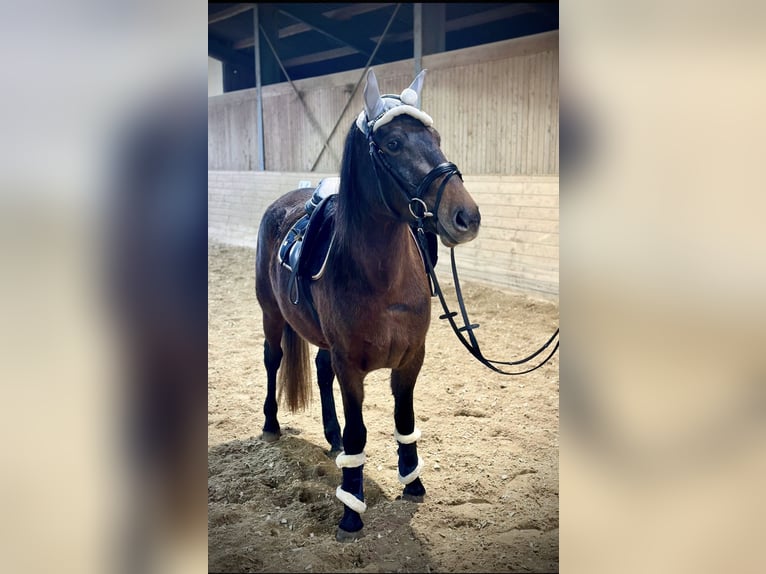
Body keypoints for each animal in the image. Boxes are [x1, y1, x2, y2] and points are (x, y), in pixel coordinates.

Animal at [255, 70, 484, 544]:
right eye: (393, 143)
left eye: (436, 137)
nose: (466, 216)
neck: (382, 279)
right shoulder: (351, 367)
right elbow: (360, 432)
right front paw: (351, 511)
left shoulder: (411, 360)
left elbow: (404, 419)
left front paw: (413, 482)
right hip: (270, 314)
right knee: (273, 359)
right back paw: (271, 425)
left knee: (320, 372)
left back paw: (332, 437)